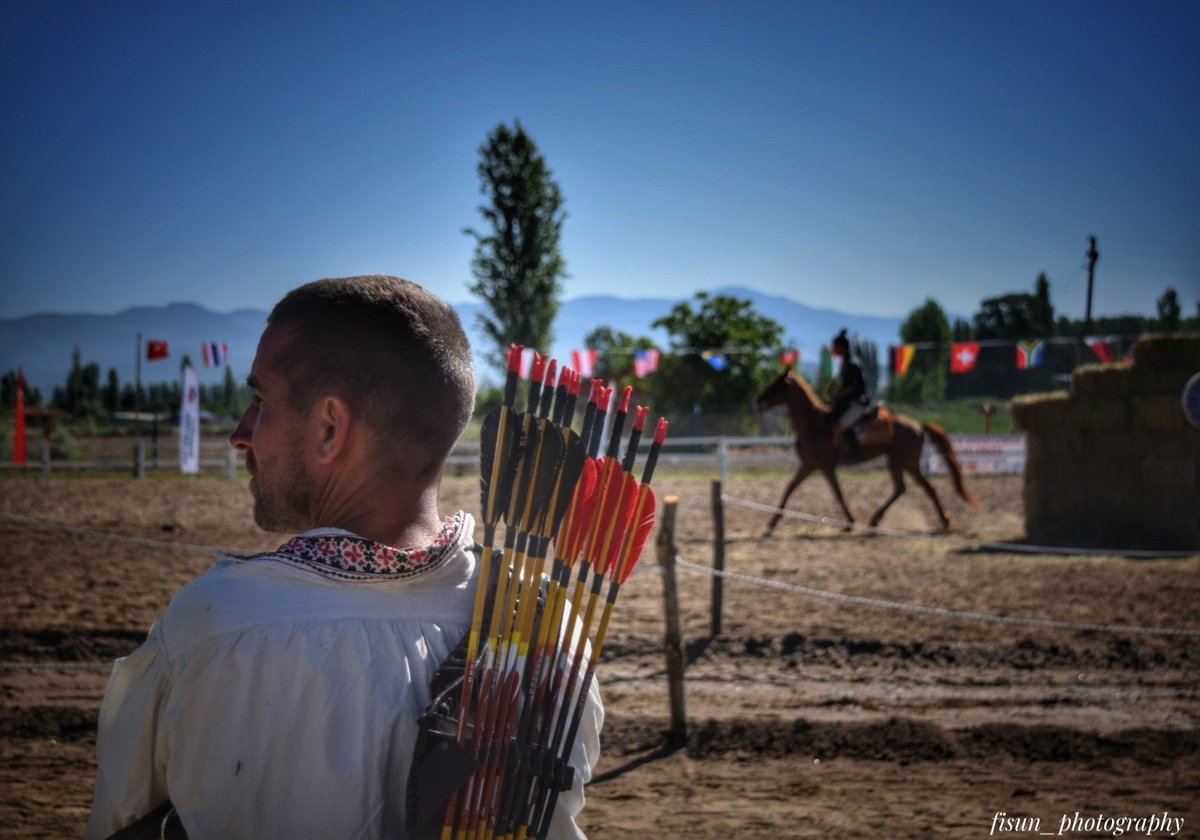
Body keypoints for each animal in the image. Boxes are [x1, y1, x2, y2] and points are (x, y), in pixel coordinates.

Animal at [753, 369, 979, 535]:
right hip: (899, 462)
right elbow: (789, 489)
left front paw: (850, 521)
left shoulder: (824, 466)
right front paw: (773, 520)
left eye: (775, 384)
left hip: (904, 461)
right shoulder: (808, 465)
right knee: (905, 488)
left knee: (922, 488)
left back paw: (941, 521)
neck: (814, 423)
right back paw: (879, 520)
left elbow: (837, 493)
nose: (759, 400)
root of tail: (918, 425)